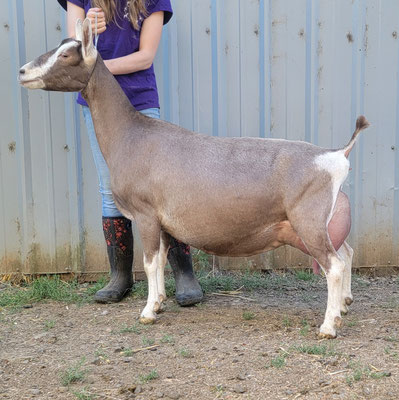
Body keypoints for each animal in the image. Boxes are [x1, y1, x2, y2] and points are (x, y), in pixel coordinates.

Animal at [17, 18, 370, 338]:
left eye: (66, 55)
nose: (22, 71)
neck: (132, 135)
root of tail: (336, 155)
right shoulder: (161, 220)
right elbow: (160, 260)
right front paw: (159, 302)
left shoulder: (145, 213)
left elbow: (149, 262)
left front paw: (147, 312)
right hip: (323, 222)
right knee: (347, 252)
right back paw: (344, 305)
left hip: (307, 221)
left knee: (334, 265)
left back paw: (328, 326)